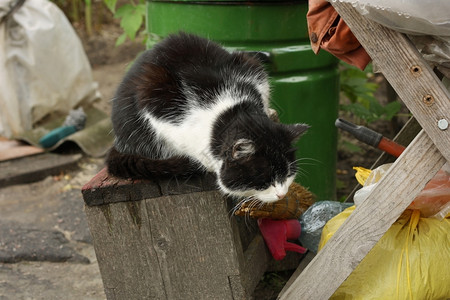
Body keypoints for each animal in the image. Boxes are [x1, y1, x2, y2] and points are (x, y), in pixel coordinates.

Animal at [106, 31, 310, 203]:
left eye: (289, 173)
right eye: (265, 180)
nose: (282, 194)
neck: (228, 111)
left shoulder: (252, 73)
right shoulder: (157, 108)